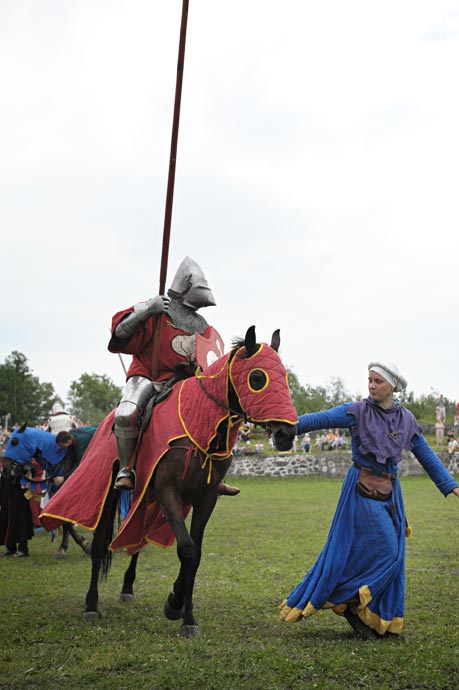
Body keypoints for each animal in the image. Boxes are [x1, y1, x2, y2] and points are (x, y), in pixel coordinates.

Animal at [39, 326, 298, 636]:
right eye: (257, 378)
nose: (286, 435)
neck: (199, 429)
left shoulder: (206, 498)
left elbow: (196, 555)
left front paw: (186, 614)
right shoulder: (167, 491)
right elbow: (186, 549)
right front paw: (175, 605)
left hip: (145, 499)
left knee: (137, 540)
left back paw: (127, 587)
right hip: (110, 492)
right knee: (101, 543)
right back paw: (91, 605)